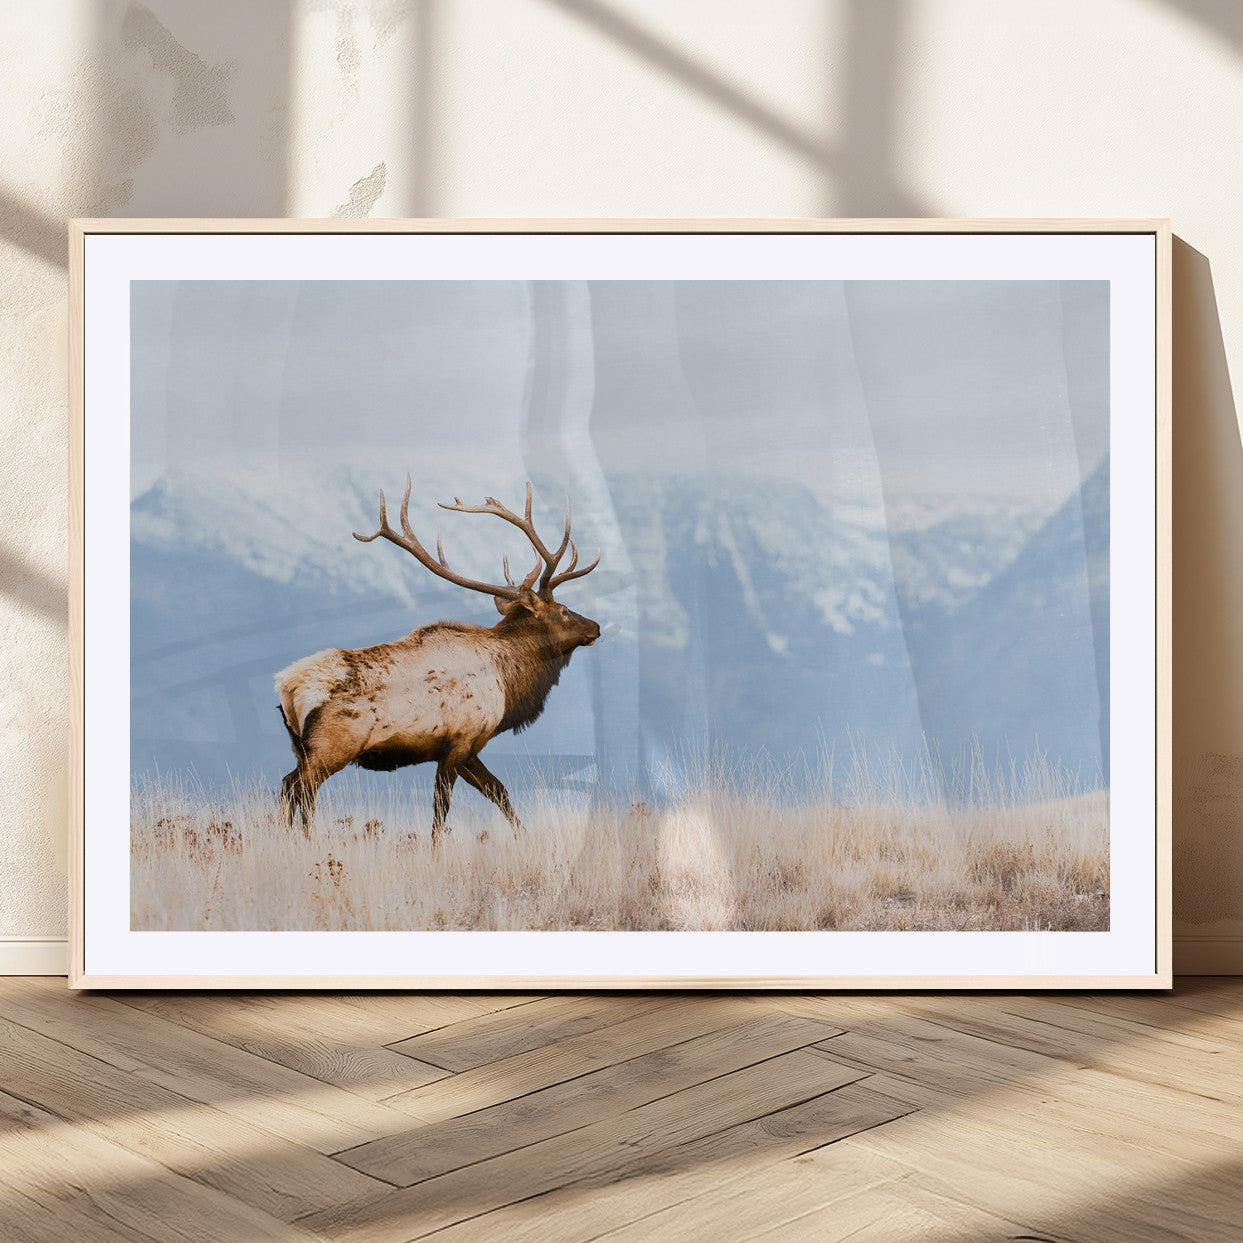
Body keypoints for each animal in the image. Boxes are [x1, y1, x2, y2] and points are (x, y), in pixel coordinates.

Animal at [274, 479, 601, 846]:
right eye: (564, 610)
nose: (595, 627)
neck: (508, 681)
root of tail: (287, 687)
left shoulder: (471, 746)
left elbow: (499, 791)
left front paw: (525, 837)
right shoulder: (459, 740)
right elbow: (442, 805)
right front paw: (436, 850)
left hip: (300, 747)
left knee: (290, 785)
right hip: (332, 746)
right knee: (299, 788)